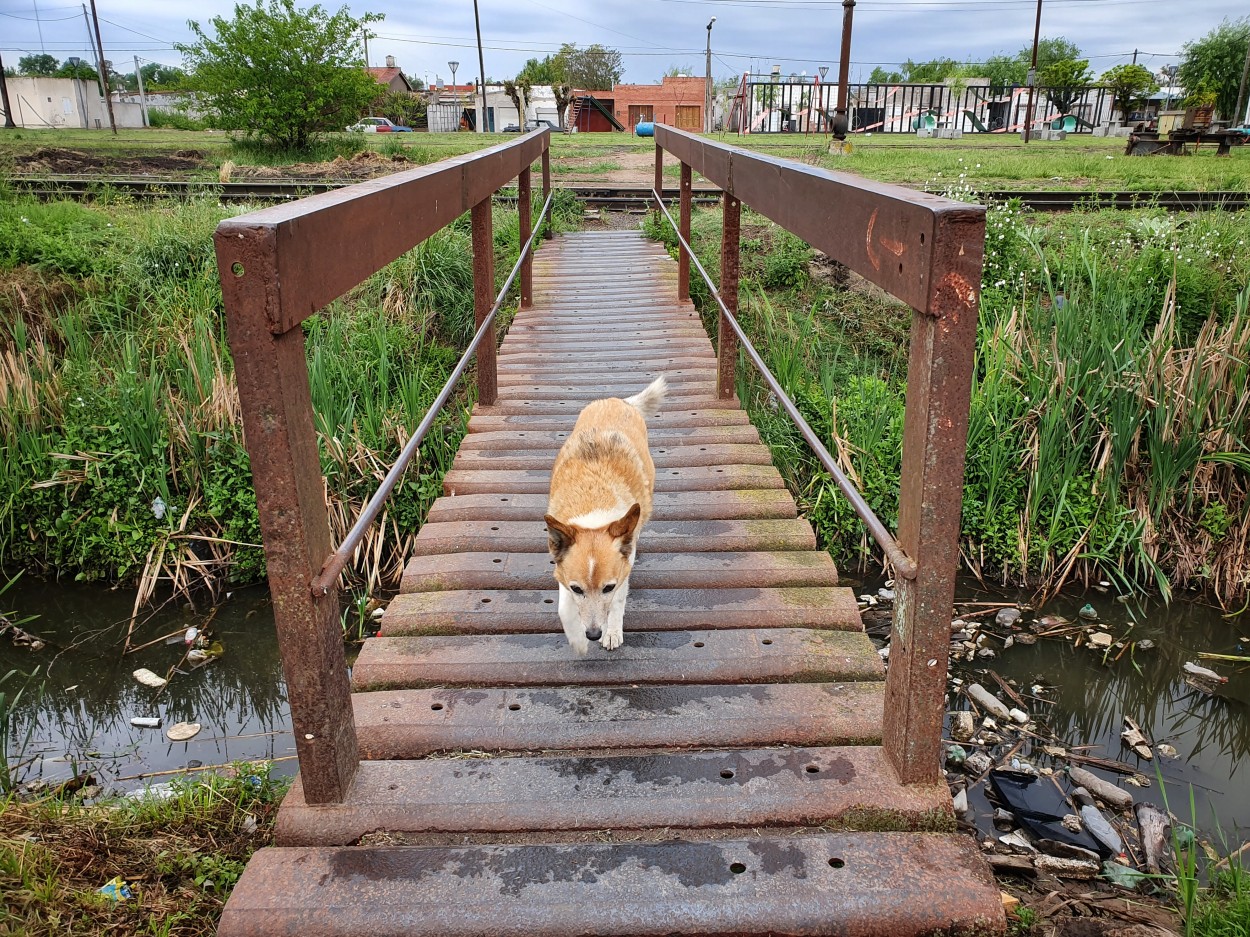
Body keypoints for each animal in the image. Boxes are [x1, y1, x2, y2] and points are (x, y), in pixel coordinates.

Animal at [545, 377, 670, 654]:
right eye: (577, 589)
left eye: (607, 587)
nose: (592, 634)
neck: (594, 501)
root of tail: (618, 401)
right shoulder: (562, 570)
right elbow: (563, 608)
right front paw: (578, 641)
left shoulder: (622, 573)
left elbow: (617, 602)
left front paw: (612, 632)